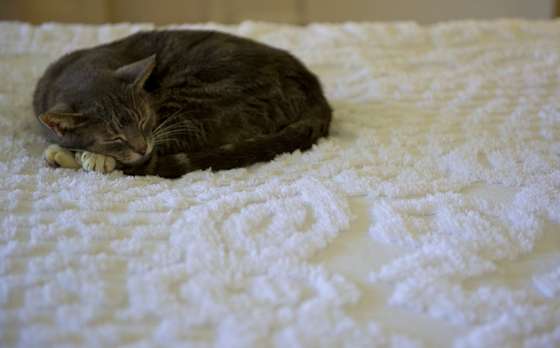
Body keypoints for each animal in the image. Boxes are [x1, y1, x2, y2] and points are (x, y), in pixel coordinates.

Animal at [32, 28, 330, 178]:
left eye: (143, 120)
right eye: (113, 137)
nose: (140, 147)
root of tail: (315, 90)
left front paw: (90, 156)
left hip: (198, 98)